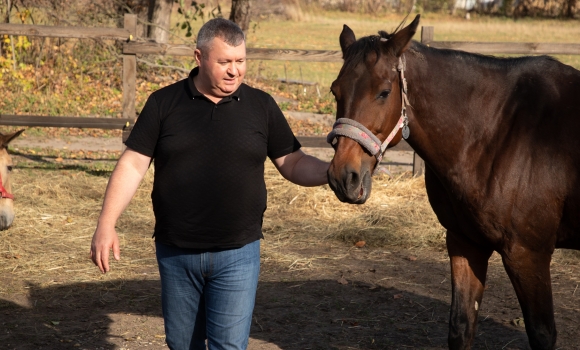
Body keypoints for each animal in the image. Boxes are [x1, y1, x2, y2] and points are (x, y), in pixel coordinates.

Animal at [326, 14, 580, 350]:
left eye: (383, 92)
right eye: (335, 91)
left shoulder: (529, 254)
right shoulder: (465, 242)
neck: (499, 131)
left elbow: (542, 333)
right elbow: (461, 326)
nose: (344, 177)